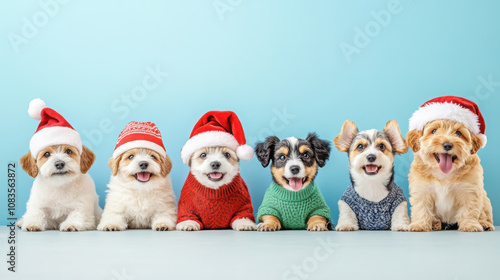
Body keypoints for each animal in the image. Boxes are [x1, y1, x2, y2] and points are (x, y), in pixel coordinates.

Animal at [408, 96, 494, 232]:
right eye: (434, 131)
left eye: (458, 133)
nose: (447, 145)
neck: (444, 174)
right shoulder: (422, 190)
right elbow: (421, 208)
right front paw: (419, 224)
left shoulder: (470, 190)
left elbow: (469, 209)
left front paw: (470, 225)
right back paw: (435, 223)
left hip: (485, 200)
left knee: (484, 214)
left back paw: (484, 224)